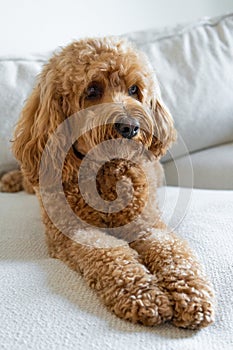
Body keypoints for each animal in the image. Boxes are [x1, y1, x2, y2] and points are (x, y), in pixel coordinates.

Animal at [0, 37, 215, 330]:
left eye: (134, 89)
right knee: (27, 171)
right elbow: (112, 255)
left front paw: (191, 294)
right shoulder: (74, 231)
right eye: (92, 90)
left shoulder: (147, 224)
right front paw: (143, 294)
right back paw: (11, 178)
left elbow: (173, 252)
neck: (104, 172)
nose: (130, 127)